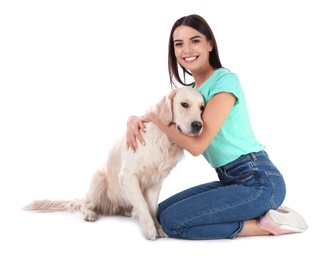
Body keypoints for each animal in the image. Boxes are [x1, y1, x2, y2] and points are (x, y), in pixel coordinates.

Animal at [23, 87, 205, 240]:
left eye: (202, 108)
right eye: (184, 104)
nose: (198, 125)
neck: (164, 138)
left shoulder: (156, 181)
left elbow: (152, 207)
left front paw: (158, 227)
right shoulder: (128, 175)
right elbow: (143, 205)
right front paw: (150, 230)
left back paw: (126, 211)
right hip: (98, 180)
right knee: (87, 205)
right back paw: (90, 214)